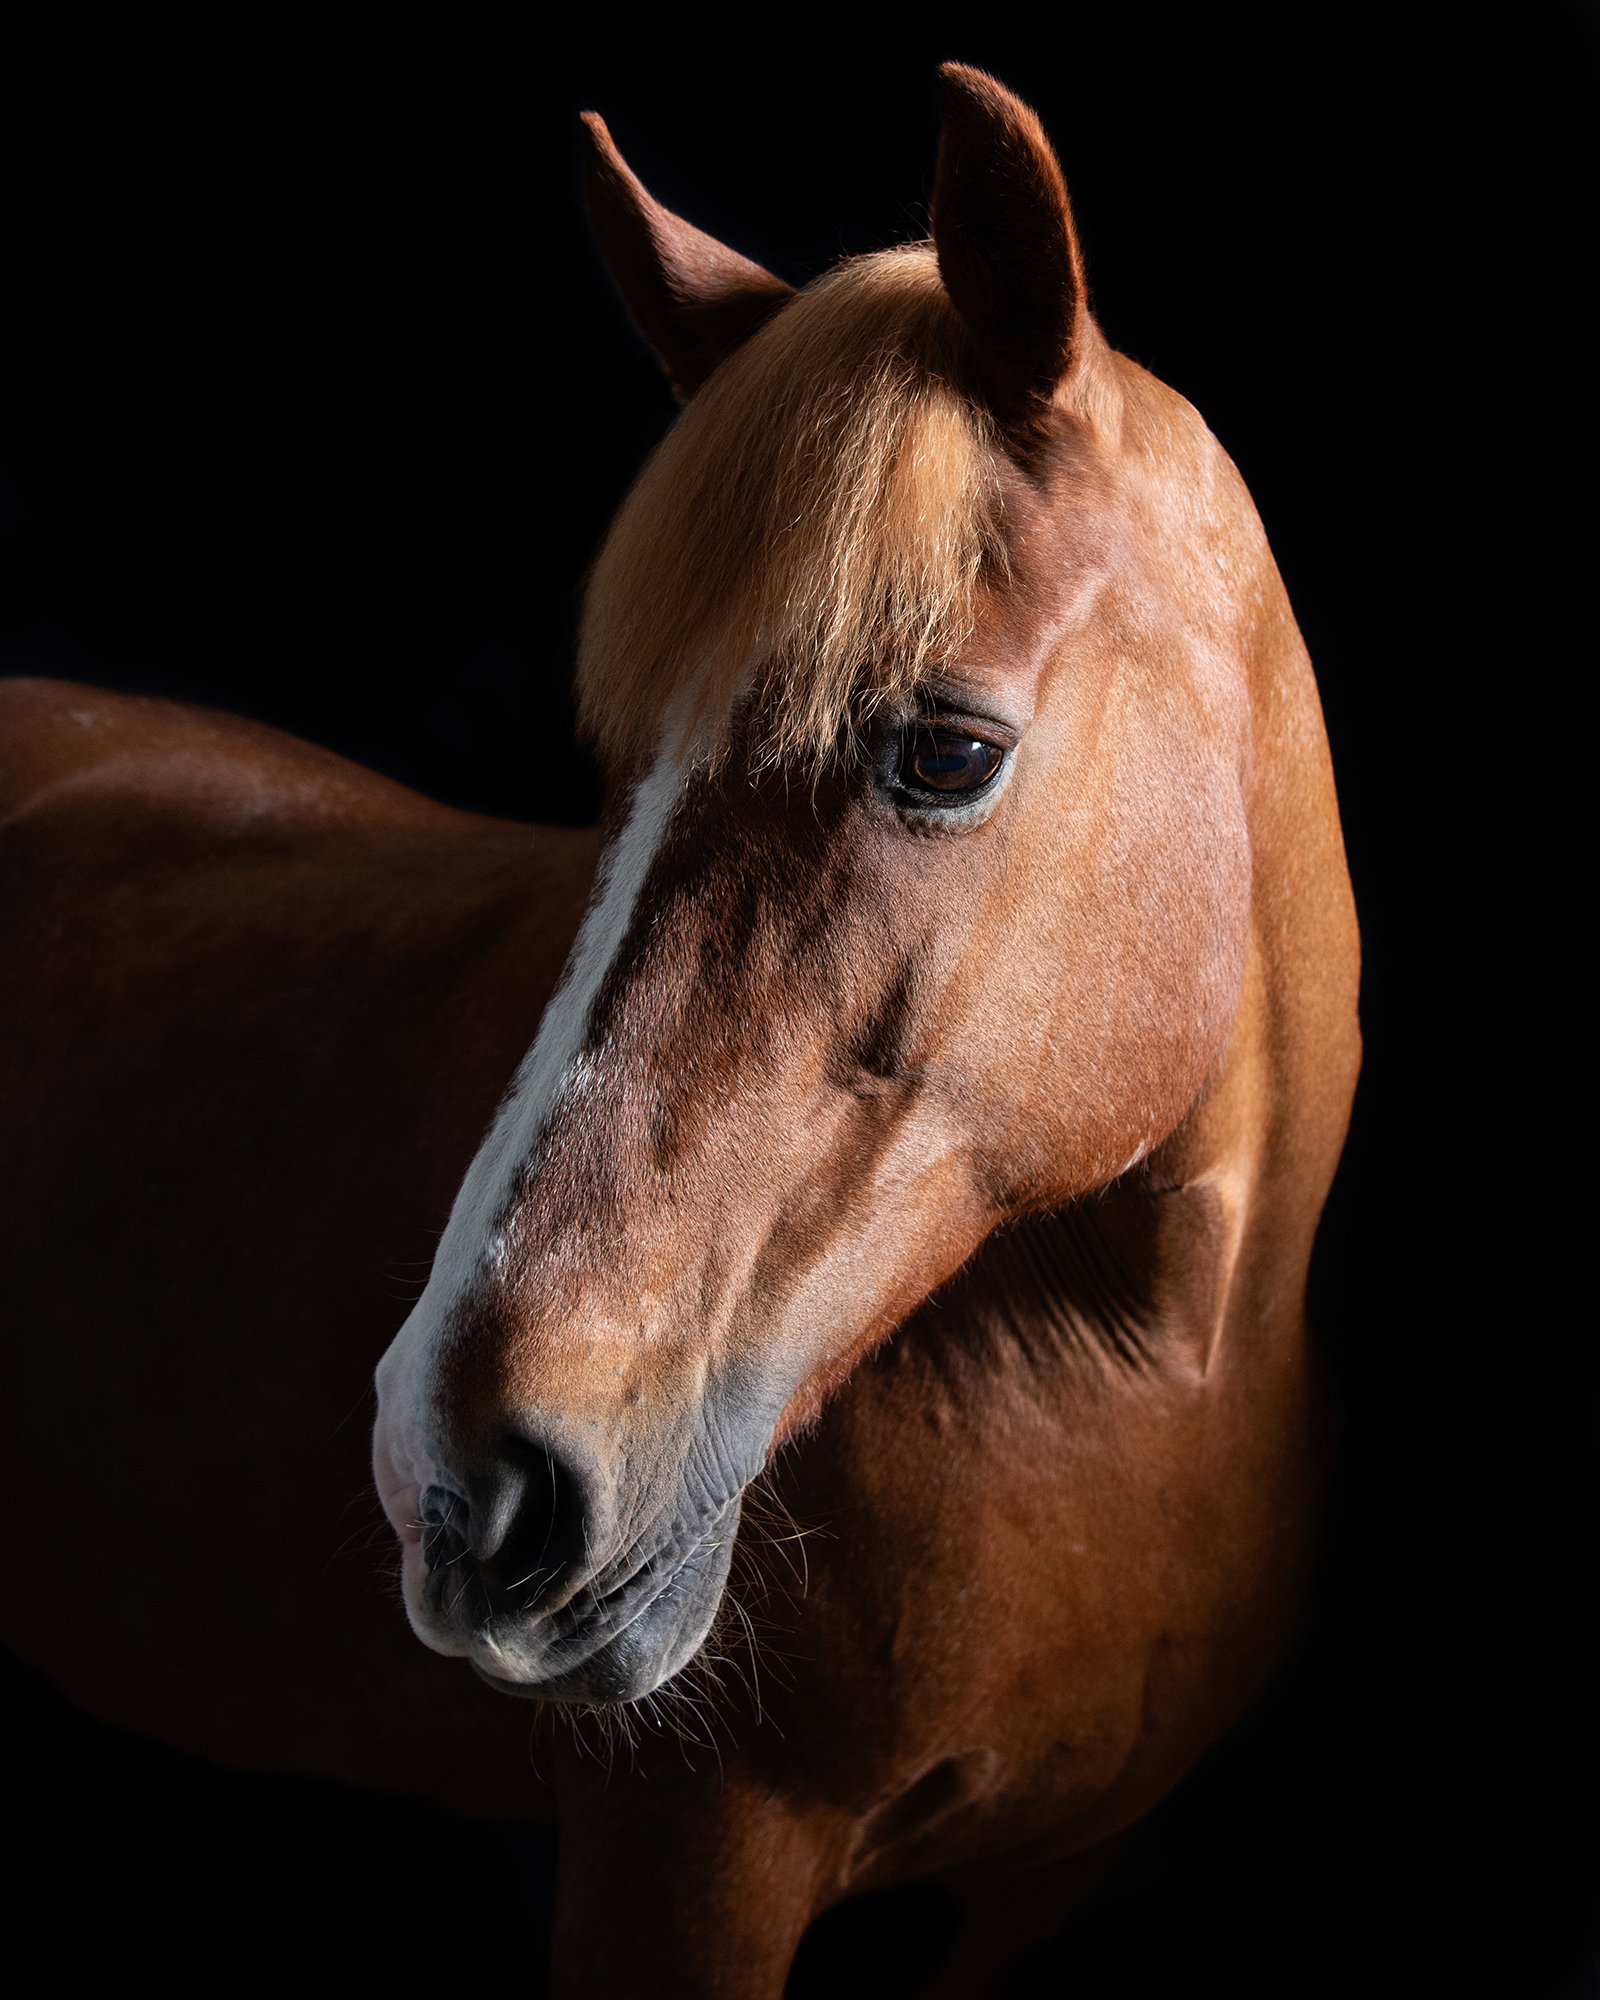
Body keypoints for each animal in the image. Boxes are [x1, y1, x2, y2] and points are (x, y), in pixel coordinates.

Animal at [0, 64, 1359, 1997]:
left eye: (947, 750)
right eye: (623, 774)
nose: (461, 1477)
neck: (1144, 1385)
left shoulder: (1044, 1896)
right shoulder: (686, 1880)